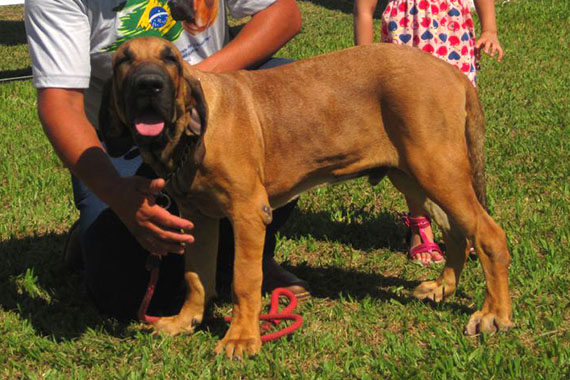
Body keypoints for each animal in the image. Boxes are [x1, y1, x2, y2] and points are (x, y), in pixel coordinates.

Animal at [100, 36, 512, 360]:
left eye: (170, 58)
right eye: (123, 61)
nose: (148, 85)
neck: (191, 134)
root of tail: (452, 73)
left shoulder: (248, 214)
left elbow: (244, 280)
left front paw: (242, 338)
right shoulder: (198, 218)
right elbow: (195, 277)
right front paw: (186, 321)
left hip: (437, 170)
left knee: (488, 235)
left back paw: (494, 314)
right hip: (415, 178)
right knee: (457, 234)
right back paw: (443, 288)